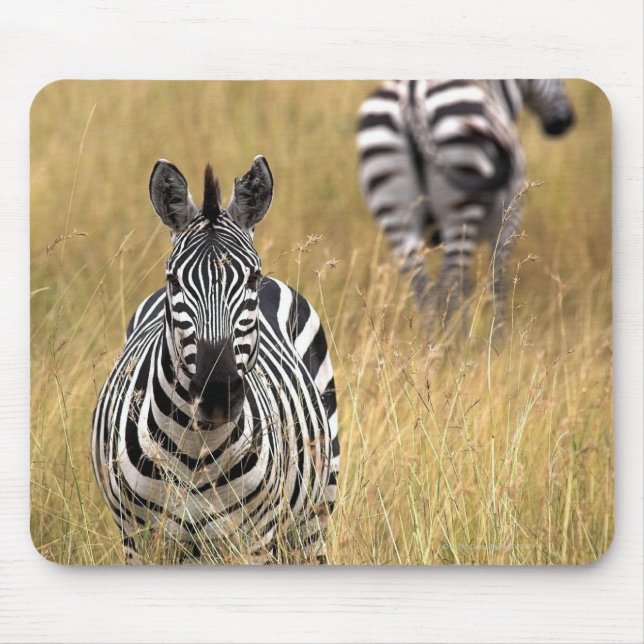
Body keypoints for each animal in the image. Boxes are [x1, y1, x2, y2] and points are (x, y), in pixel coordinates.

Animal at [92, 156, 340, 564]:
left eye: (252, 279)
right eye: (174, 282)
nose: (217, 394)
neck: (196, 449)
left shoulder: (253, 541)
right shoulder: (138, 540)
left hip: (314, 513)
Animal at [356, 79, 575, 331]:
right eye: (561, 81)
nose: (564, 122)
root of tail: (411, 93)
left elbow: (470, 287)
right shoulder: (508, 222)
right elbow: (497, 283)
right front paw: (498, 336)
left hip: (395, 212)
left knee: (425, 289)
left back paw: (431, 340)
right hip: (461, 207)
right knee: (449, 284)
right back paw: (448, 340)